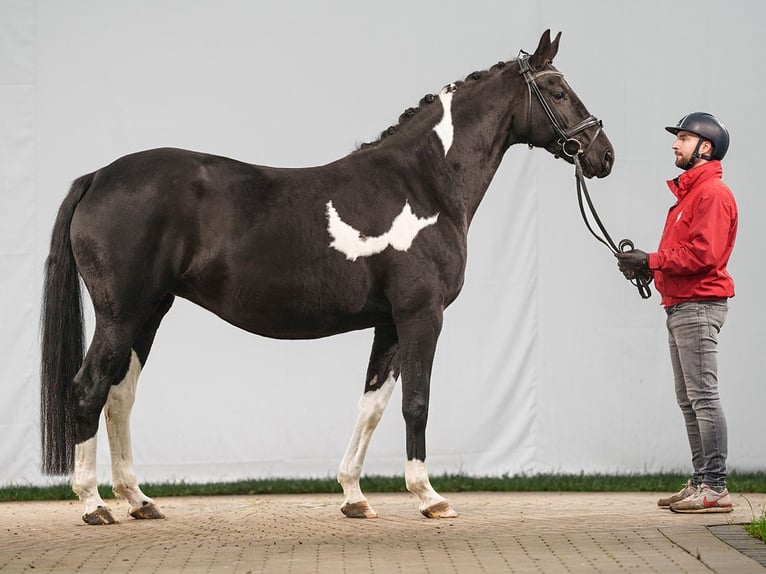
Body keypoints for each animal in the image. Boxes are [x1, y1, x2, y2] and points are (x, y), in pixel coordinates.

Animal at [42, 30, 616, 528]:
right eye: (558, 90)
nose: (603, 154)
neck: (422, 182)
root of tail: (99, 177)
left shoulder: (389, 324)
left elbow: (372, 406)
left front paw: (354, 496)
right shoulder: (421, 316)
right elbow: (416, 403)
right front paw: (430, 497)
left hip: (150, 313)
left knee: (120, 396)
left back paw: (139, 500)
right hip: (121, 315)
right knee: (88, 389)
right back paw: (93, 504)